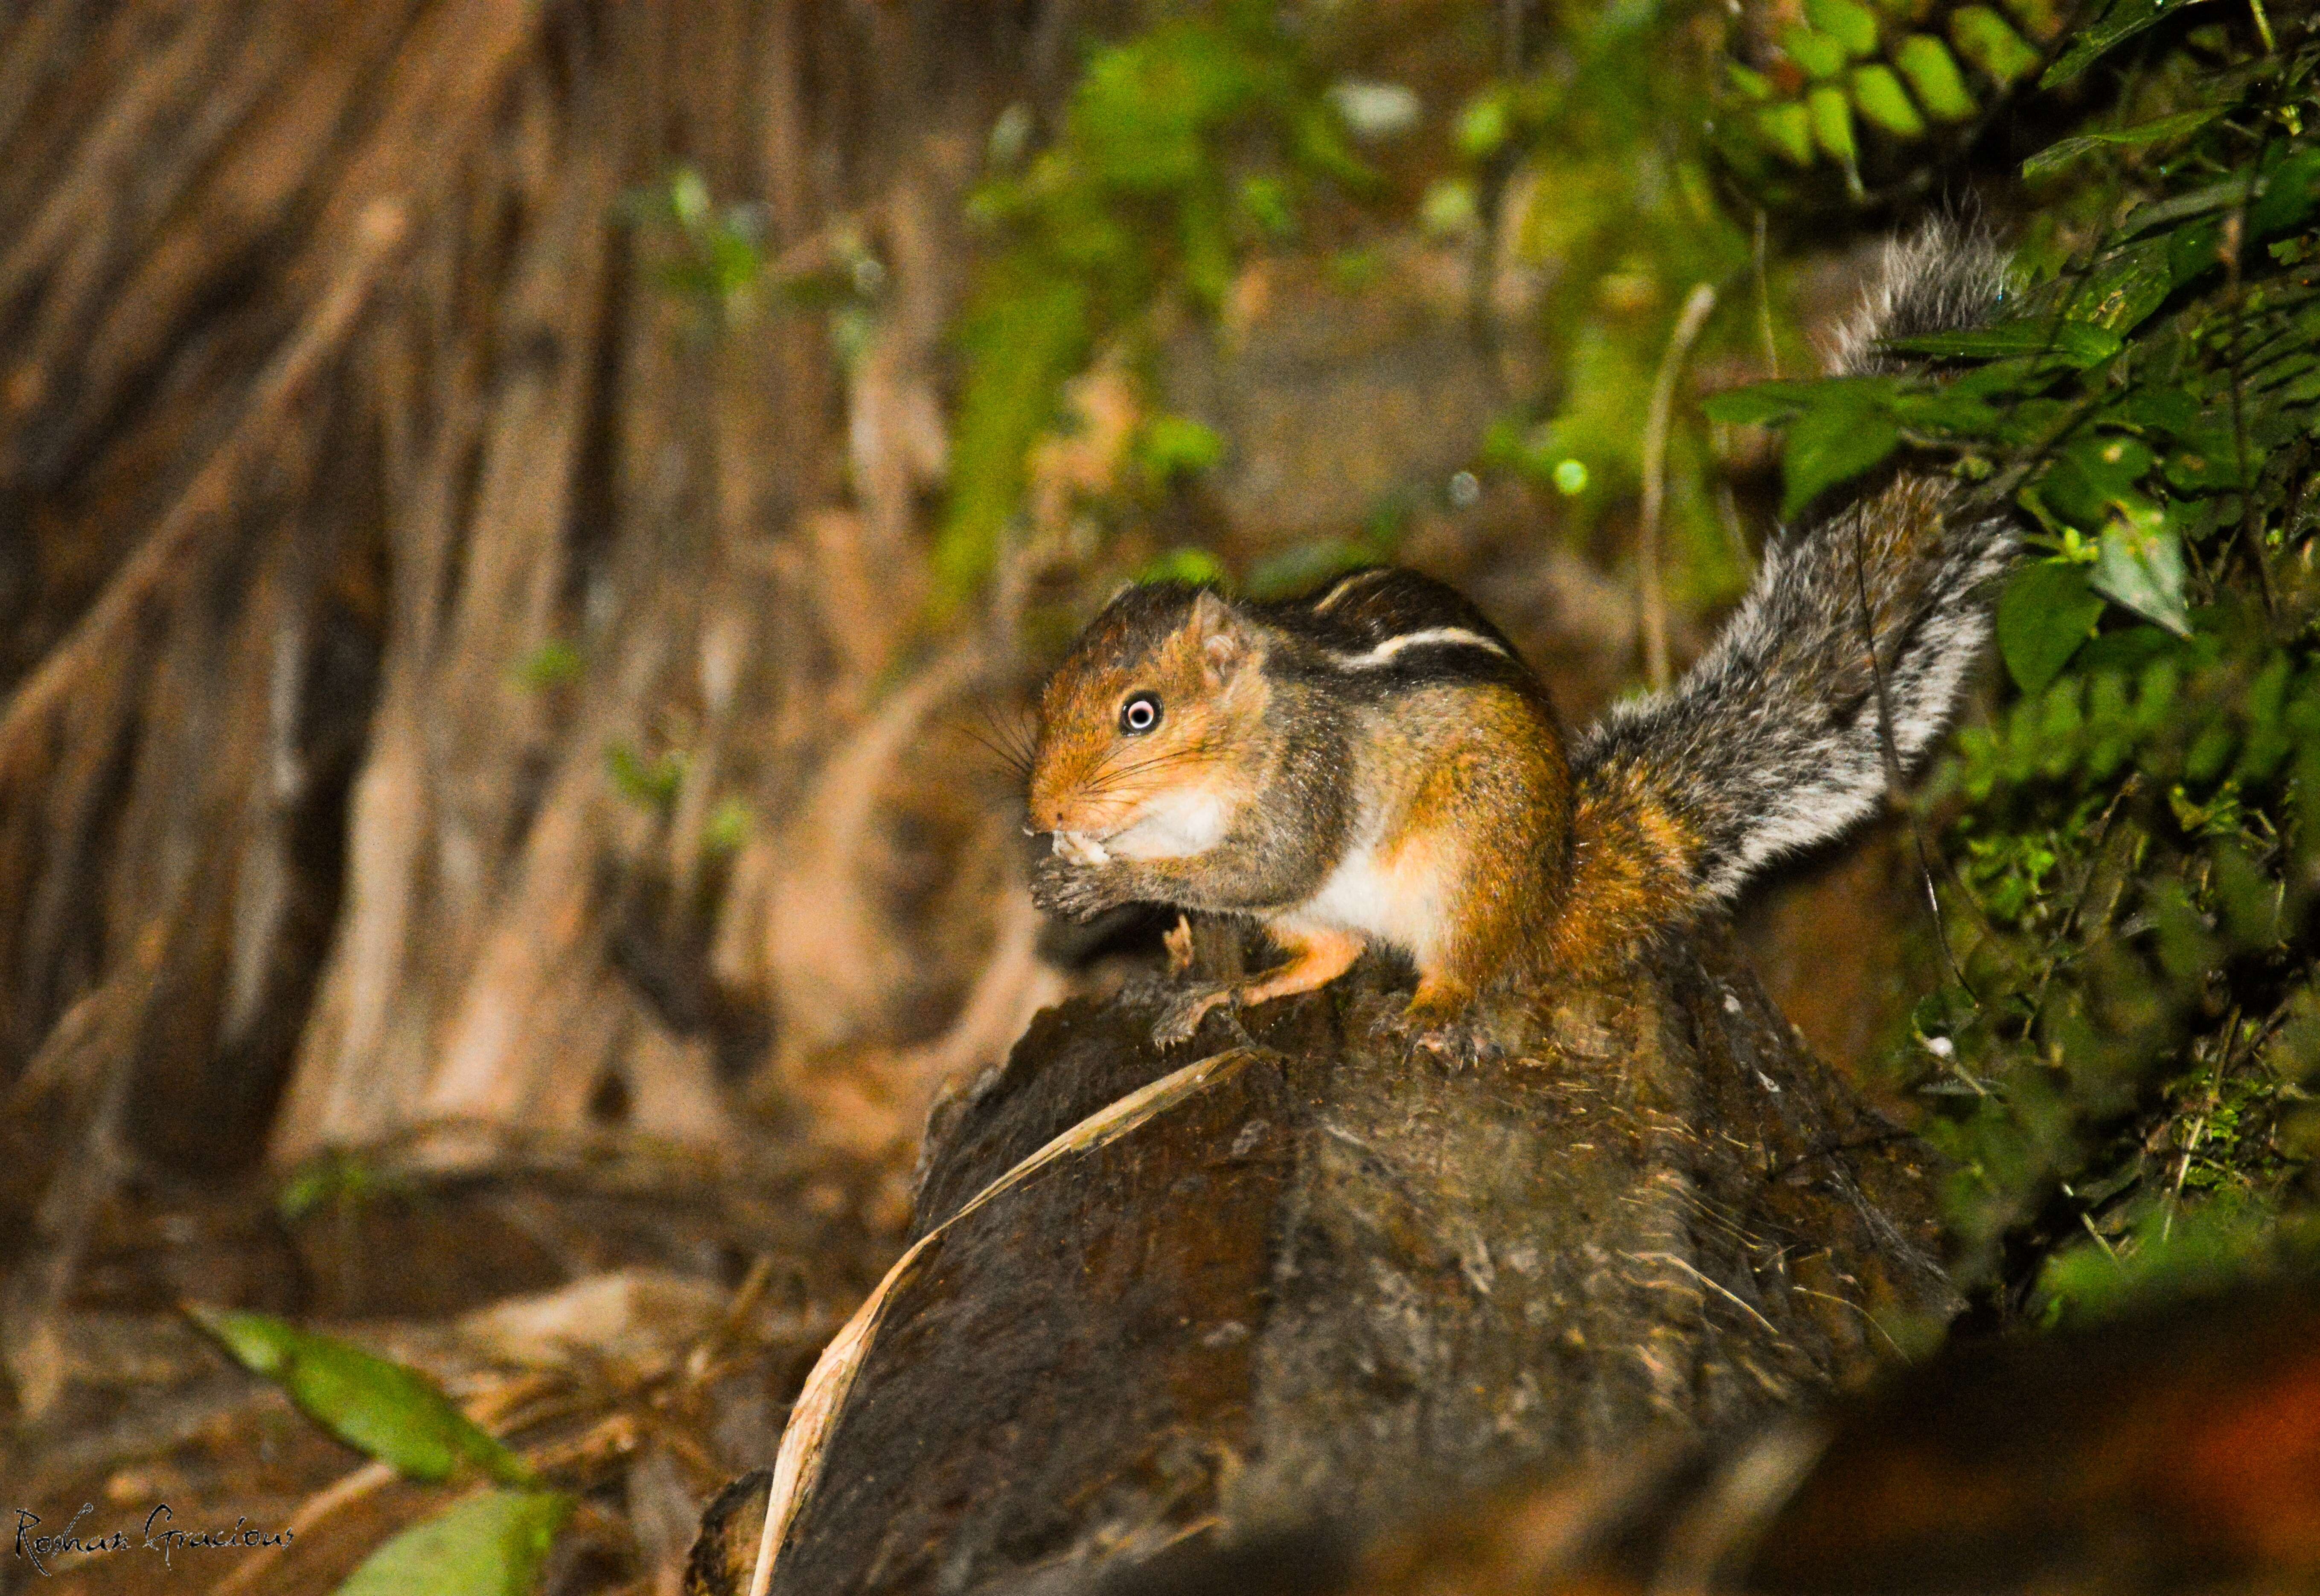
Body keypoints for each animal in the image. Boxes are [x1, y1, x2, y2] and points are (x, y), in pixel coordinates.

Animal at [1025, 225, 2023, 1048]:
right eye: (1047, 691)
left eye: (1142, 714)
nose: (1047, 816)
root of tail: (1554, 891)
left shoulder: (1309, 781)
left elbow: (1258, 865)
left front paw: (1105, 882)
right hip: (1327, 913)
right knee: (1334, 954)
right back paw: (1228, 993)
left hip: (1468, 869)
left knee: (1467, 966)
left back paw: (1430, 1012)